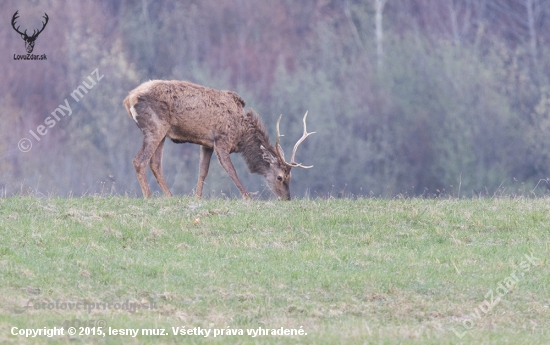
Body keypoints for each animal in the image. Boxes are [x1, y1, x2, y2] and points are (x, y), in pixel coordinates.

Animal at [123, 80, 316, 199]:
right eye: (280, 177)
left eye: (290, 177)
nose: (287, 198)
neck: (241, 135)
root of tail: (129, 98)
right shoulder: (222, 140)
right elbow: (231, 170)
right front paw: (248, 198)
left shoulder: (207, 144)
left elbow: (202, 171)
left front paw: (197, 197)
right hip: (155, 127)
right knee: (139, 160)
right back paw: (148, 197)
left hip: (163, 133)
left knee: (155, 164)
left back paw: (170, 196)